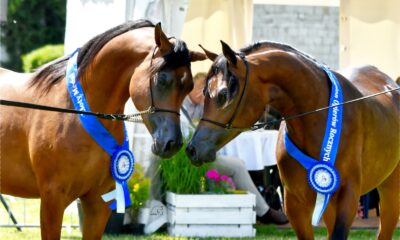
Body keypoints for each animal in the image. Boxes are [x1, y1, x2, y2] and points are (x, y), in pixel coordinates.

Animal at [0, 19, 205, 239]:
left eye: (190, 86)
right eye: (162, 79)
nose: (171, 143)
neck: (76, 113)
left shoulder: (98, 203)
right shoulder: (52, 200)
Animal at [186, 40, 398, 239]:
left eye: (223, 94)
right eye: (204, 92)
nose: (192, 149)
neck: (319, 119)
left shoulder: (348, 195)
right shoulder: (296, 204)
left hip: (390, 188)